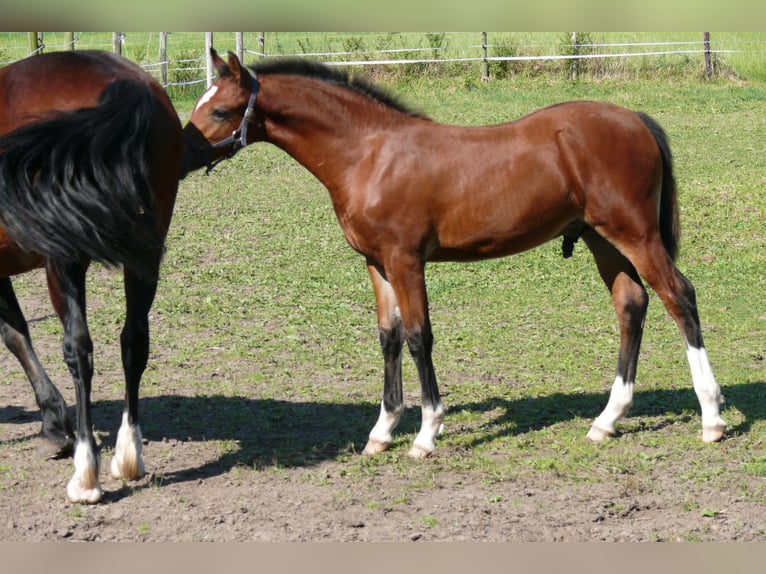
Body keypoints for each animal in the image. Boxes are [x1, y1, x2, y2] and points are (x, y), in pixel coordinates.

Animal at [0, 50, 186, 504]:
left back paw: (86, 472)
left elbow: (15, 336)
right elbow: (16, 331)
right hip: (144, 255)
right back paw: (128, 454)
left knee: (78, 350)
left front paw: (56, 426)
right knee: (134, 341)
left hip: (63, 262)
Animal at [184, 50, 728, 464]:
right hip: (601, 239)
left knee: (679, 296)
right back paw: (606, 420)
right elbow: (389, 338)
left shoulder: (406, 260)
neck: (369, 154)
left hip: (634, 234)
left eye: (220, 111)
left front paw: (426, 434)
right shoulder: (377, 265)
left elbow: (418, 337)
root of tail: (636, 119)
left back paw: (712, 417)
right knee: (632, 305)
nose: (182, 155)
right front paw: (382, 432)